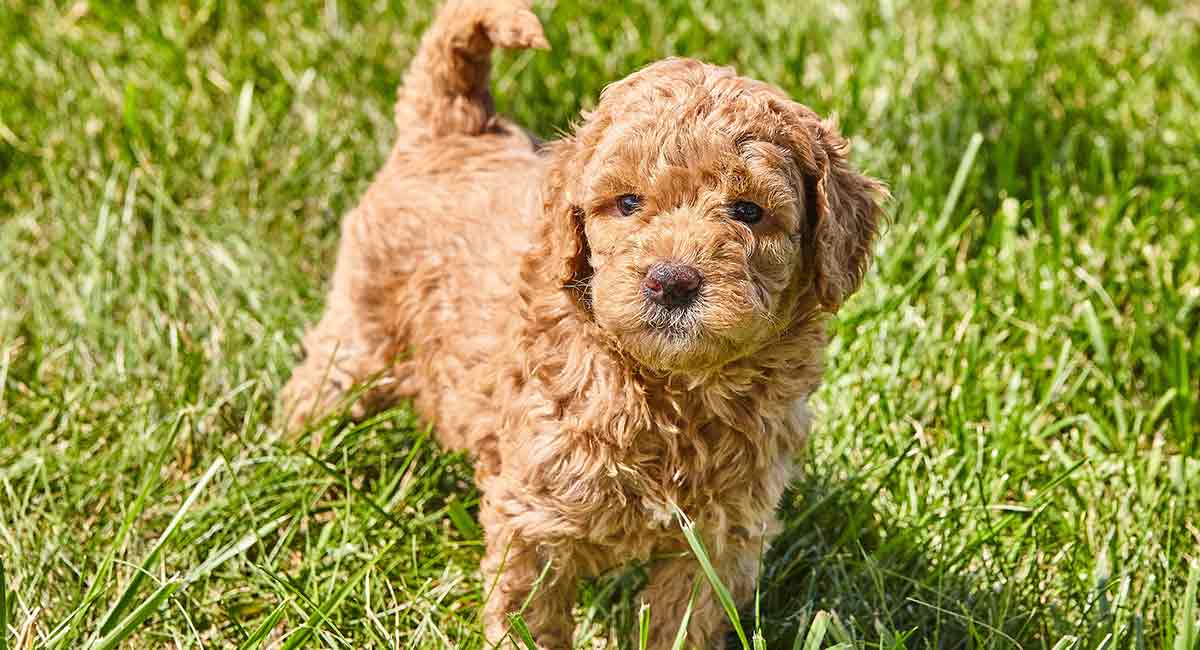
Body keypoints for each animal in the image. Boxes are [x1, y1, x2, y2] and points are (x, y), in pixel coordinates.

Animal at [278, 2, 883, 647]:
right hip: (360, 330)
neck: (670, 391)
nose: (672, 280)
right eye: (627, 203)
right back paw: (293, 463)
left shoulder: (720, 535)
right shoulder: (535, 517)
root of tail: (455, 126)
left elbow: (683, 620)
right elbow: (530, 615)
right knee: (320, 388)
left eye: (749, 211)